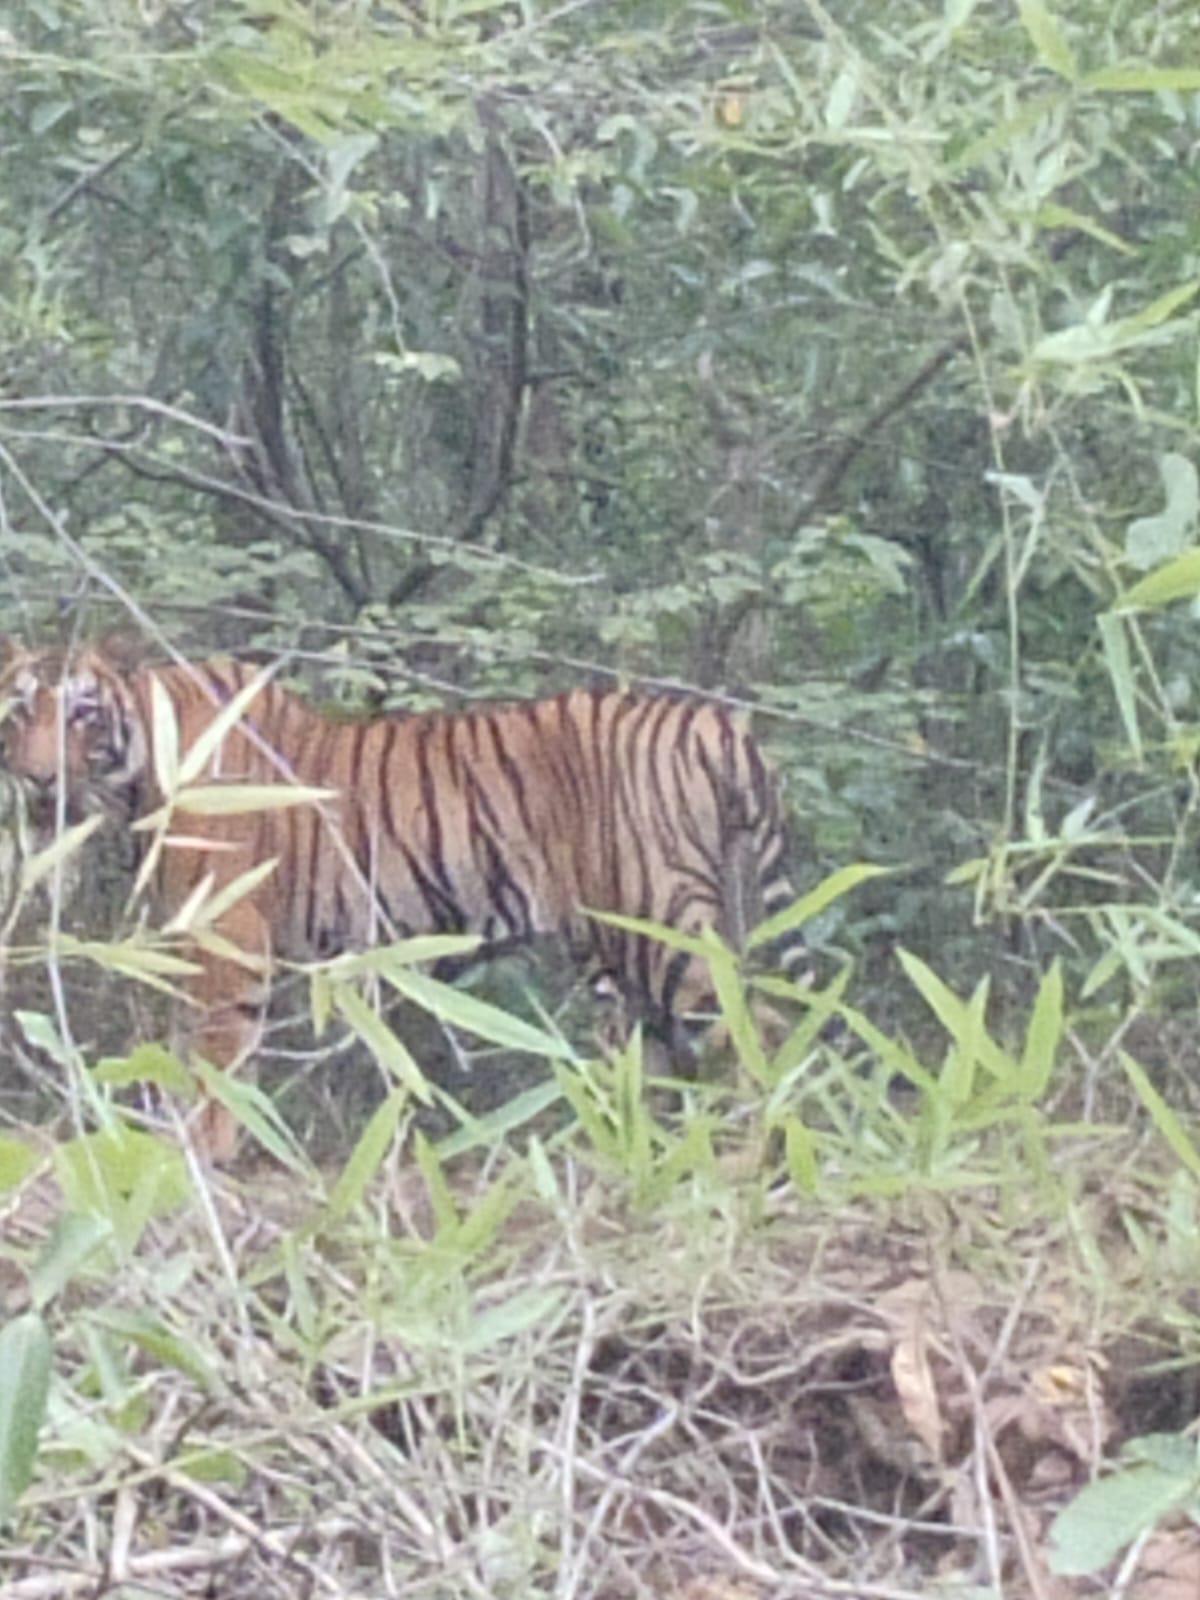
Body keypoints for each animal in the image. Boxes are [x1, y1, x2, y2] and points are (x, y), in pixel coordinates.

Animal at [0, 640, 812, 1164]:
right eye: (17, 714)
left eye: (80, 714)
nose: (39, 780)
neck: (141, 755)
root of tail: (718, 722)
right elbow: (189, 1051)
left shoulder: (227, 930)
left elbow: (216, 1055)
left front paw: (205, 1153)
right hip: (617, 944)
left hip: (662, 920)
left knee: (759, 1028)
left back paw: (745, 1156)